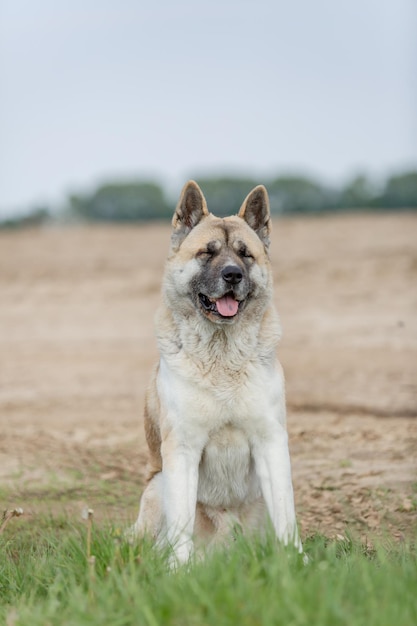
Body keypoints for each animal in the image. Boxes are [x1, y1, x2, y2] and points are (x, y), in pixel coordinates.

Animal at [131, 179, 302, 560]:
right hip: (158, 486)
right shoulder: (182, 449)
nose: (232, 274)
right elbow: (181, 526)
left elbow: (287, 517)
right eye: (207, 253)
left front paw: (298, 563)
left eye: (245, 254)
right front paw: (178, 569)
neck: (222, 356)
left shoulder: (271, 442)